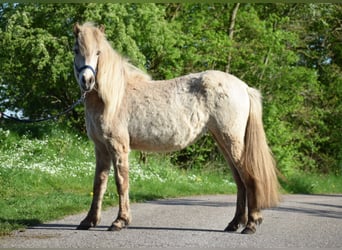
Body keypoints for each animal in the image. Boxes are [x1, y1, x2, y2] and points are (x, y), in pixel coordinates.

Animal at [73, 22, 280, 235]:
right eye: (76, 50)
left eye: (98, 52)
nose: (87, 80)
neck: (113, 97)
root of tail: (245, 88)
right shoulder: (101, 148)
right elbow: (99, 184)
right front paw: (88, 221)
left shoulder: (118, 146)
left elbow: (121, 182)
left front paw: (120, 221)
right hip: (224, 142)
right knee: (240, 182)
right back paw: (234, 224)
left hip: (232, 141)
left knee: (250, 178)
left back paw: (251, 224)